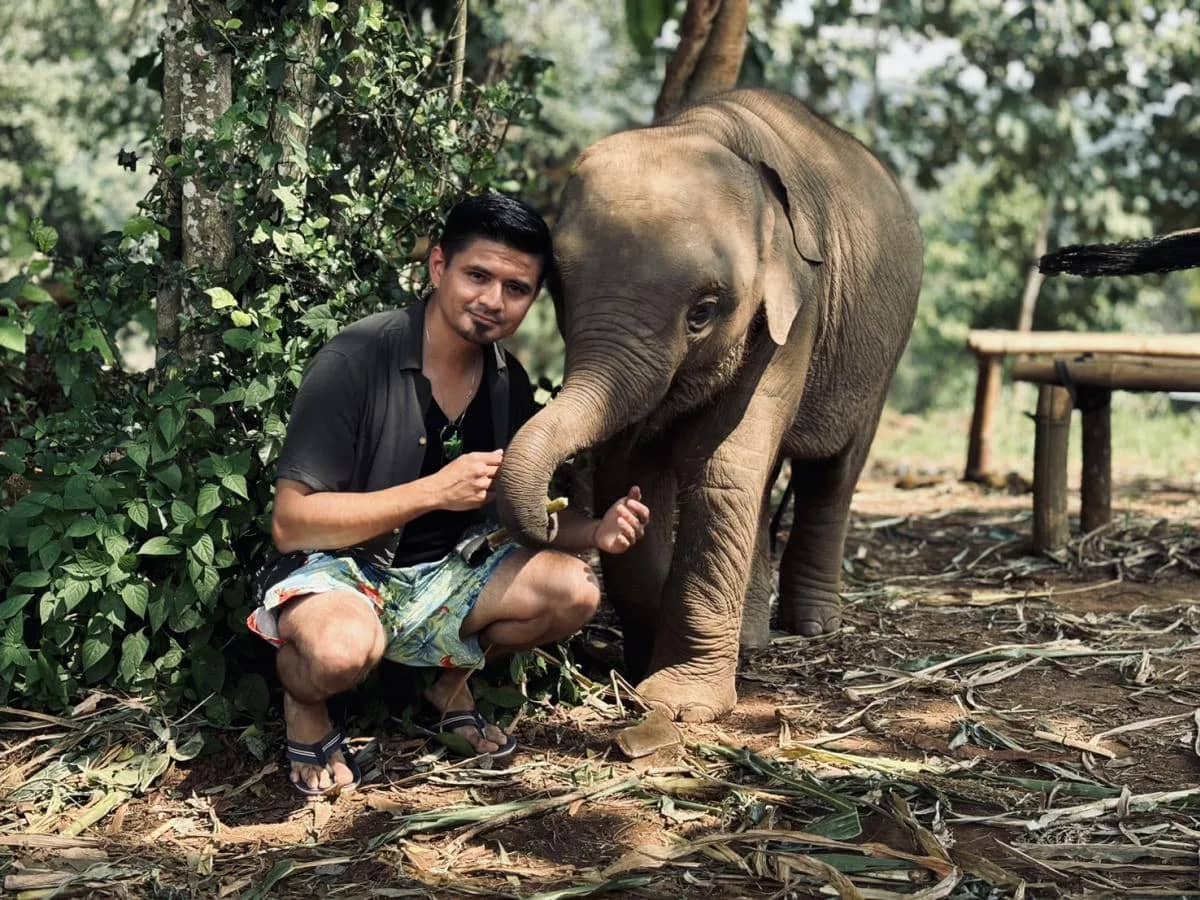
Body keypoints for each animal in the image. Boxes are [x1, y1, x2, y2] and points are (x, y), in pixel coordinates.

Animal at [496, 89, 923, 722]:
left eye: (703, 312)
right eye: (559, 292)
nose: (551, 511)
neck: (704, 131)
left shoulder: (799, 310)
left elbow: (721, 468)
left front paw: (678, 705)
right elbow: (632, 468)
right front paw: (642, 663)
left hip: (882, 353)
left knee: (834, 470)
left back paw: (814, 626)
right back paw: (752, 638)